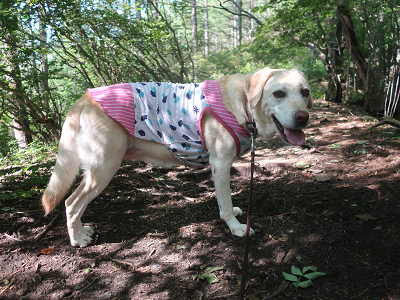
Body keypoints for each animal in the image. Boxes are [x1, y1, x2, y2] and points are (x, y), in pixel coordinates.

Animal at [43, 68, 312, 248]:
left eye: (305, 91)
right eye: (278, 93)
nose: (303, 117)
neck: (245, 105)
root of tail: (82, 99)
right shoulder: (220, 165)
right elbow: (224, 205)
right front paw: (236, 228)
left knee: (72, 203)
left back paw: (81, 232)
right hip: (103, 168)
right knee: (71, 203)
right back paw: (77, 239)